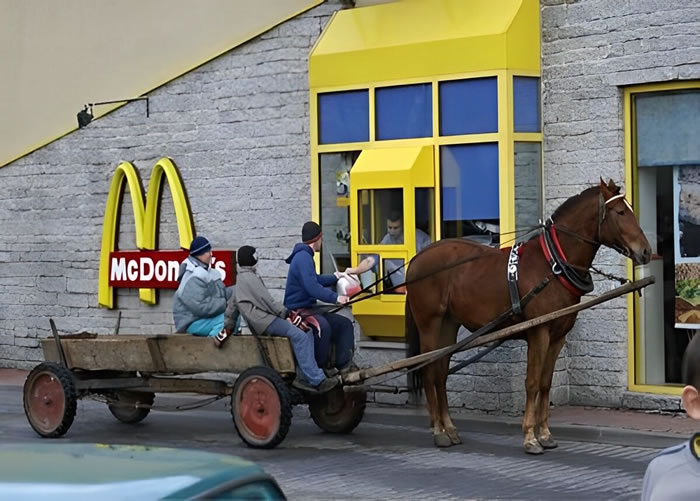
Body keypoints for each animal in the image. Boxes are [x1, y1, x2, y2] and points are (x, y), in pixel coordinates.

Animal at [404, 180, 652, 454]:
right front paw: (530, 437)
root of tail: (417, 258)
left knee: (440, 373)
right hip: (429, 324)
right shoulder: (538, 332)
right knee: (429, 371)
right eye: (620, 212)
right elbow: (532, 382)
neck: (553, 266)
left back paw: (449, 428)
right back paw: (438, 431)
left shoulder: (557, 336)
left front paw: (544, 433)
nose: (646, 251)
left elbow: (545, 383)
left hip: (448, 324)